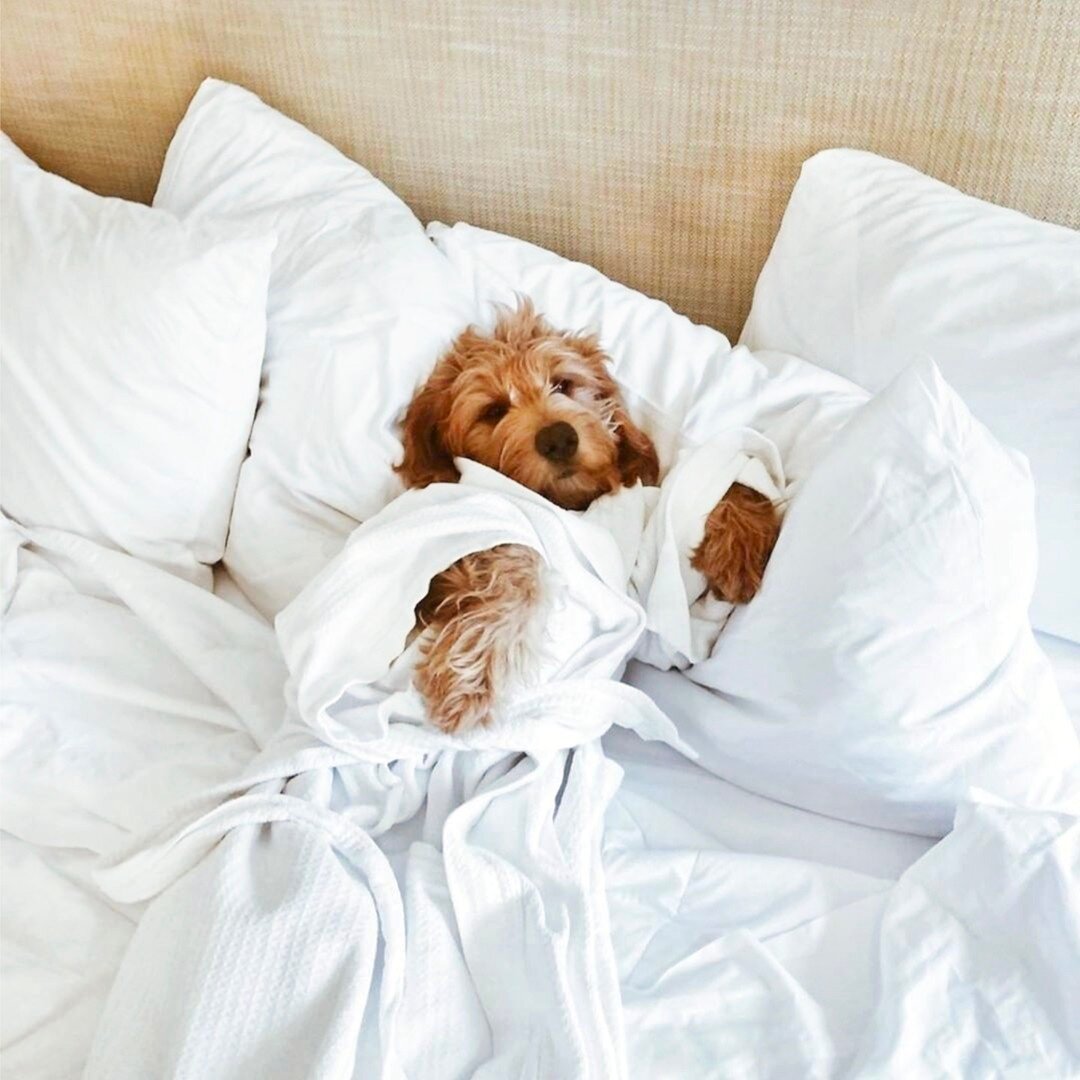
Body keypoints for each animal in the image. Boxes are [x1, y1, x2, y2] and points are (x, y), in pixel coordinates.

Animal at [397, 300, 777, 730]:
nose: (558, 438)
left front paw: (739, 550)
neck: (572, 502)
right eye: (492, 411)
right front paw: (471, 680)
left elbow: (718, 480)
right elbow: (516, 564)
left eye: (563, 384)